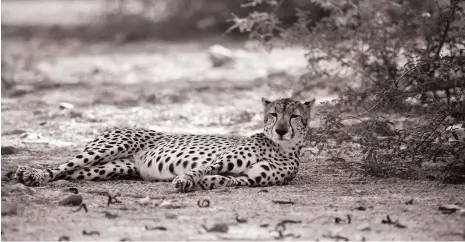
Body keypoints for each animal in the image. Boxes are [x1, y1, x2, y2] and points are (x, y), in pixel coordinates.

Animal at [13, 97, 316, 192]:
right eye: (274, 114)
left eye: (294, 116)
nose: (281, 130)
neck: (281, 148)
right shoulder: (221, 159)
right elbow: (202, 170)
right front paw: (185, 181)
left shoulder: (249, 179)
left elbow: (223, 180)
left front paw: (195, 183)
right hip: (105, 149)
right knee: (61, 165)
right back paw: (31, 174)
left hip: (110, 168)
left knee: (71, 173)